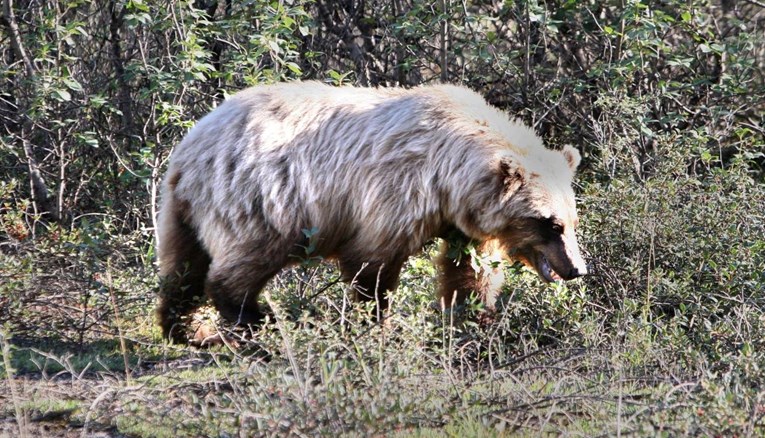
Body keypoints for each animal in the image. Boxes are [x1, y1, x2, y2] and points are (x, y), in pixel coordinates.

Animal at [155, 82, 584, 342]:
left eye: (572, 220)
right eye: (550, 223)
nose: (577, 269)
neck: (449, 176)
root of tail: (188, 148)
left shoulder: (463, 220)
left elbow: (470, 270)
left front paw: (475, 318)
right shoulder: (395, 190)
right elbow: (372, 263)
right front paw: (379, 322)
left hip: (182, 209)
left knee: (183, 266)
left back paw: (184, 328)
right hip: (262, 198)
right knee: (243, 261)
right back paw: (254, 321)